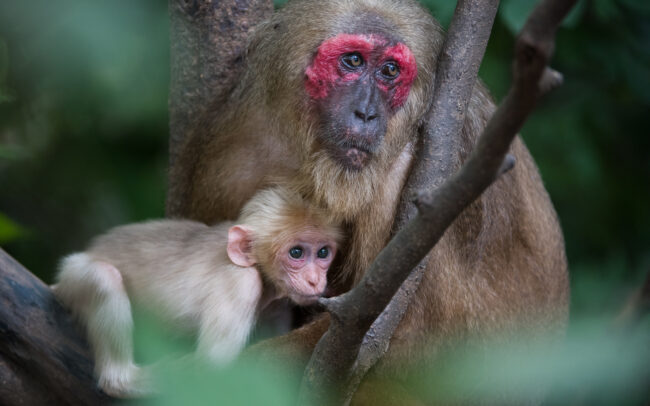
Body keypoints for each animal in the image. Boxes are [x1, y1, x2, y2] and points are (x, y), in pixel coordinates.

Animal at [52, 186, 341, 398]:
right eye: (296, 252)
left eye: (322, 252)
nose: (315, 280)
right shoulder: (240, 284)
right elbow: (212, 370)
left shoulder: (278, 305)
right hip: (74, 276)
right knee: (105, 278)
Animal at [167, 0, 569, 402]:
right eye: (353, 61)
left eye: (389, 71)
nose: (366, 113)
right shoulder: (233, 146)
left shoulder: (428, 166)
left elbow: (402, 341)